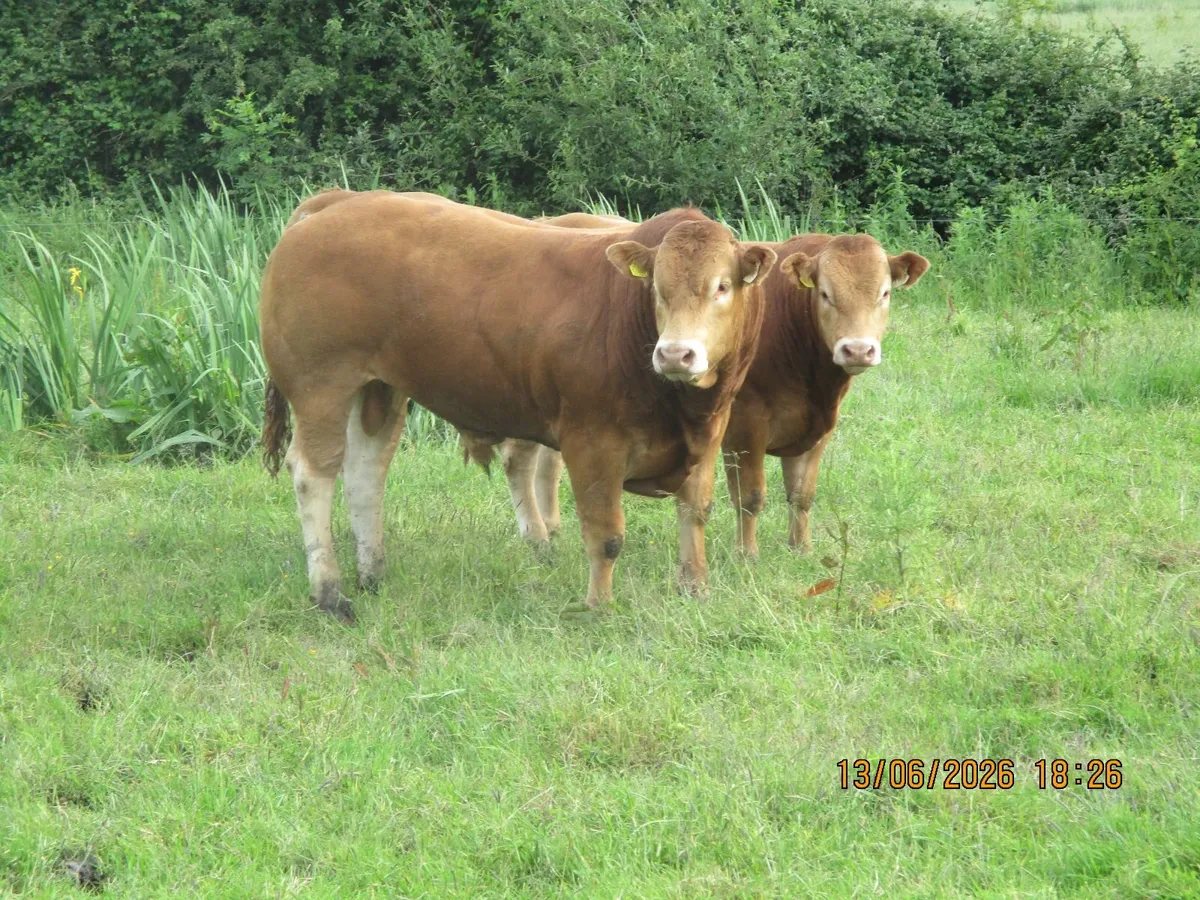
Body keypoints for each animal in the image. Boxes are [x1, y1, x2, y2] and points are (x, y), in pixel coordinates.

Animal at [259, 191, 777, 621]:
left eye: (723, 286)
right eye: (657, 288)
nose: (675, 354)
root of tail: (335, 201)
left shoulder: (709, 433)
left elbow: (696, 512)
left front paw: (695, 589)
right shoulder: (593, 442)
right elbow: (606, 534)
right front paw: (598, 606)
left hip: (378, 388)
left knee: (366, 472)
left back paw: (373, 575)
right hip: (322, 386)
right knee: (313, 474)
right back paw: (330, 593)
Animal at [495, 231, 930, 561]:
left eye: (885, 293)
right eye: (824, 293)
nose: (857, 350)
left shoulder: (817, 426)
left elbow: (802, 495)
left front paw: (800, 549)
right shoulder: (746, 427)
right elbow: (750, 496)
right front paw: (747, 555)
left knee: (549, 461)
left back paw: (552, 528)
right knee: (520, 457)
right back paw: (536, 537)